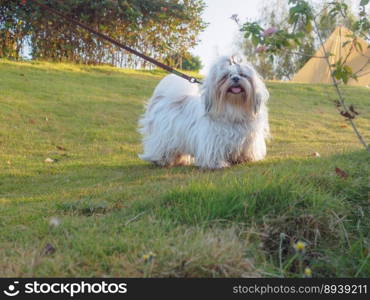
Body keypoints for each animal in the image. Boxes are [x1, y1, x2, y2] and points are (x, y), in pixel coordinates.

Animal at [138, 55, 268, 169]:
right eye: (225, 76)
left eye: (242, 75)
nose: (235, 78)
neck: (234, 107)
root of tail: (165, 99)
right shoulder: (213, 139)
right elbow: (214, 151)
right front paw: (217, 164)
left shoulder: (249, 139)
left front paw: (245, 159)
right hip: (164, 137)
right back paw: (160, 160)